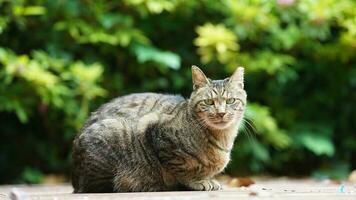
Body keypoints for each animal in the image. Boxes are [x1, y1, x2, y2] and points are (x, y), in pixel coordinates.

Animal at [71, 65, 246, 192]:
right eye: (209, 102)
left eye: (230, 100)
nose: (221, 113)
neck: (221, 138)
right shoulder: (158, 135)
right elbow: (182, 171)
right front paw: (197, 181)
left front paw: (208, 179)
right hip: (113, 133)